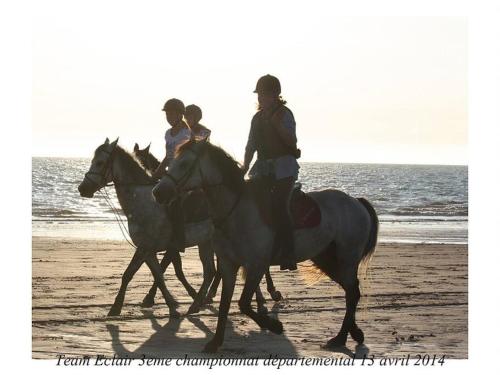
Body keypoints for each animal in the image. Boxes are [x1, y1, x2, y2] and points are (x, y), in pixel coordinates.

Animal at [131, 142, 284, 310]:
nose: (157, 192)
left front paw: (151, 297)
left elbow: (165, 267)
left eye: (142, 162)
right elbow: (168, 268)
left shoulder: (173, 244)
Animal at [152, 140, 378, 354]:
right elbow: (226, 303)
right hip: (327, 259)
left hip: (347, 259)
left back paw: (340, 337)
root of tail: (356, 201)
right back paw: (353, 333)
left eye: (184, 164)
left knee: (352, 292)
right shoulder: (228, 265)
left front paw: (274, 326)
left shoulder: (256, 265)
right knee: (351, 290)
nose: (158, 192)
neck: (236, 211)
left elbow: (243, 303)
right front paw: (215, 342)